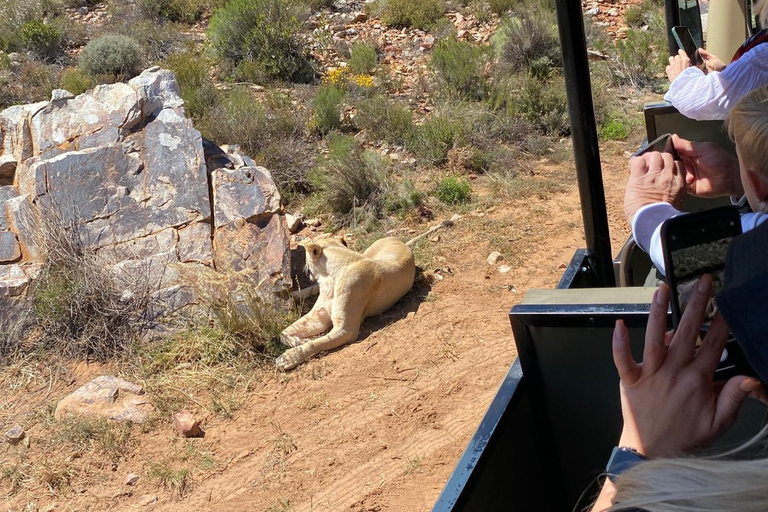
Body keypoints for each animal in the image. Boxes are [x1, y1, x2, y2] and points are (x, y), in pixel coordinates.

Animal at [276, 236, 416, 372]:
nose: (305, 267)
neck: (329, 279)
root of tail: (397, 240)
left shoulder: (346, 330)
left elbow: (317, 343)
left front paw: (287, 358)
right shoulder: (317, 317)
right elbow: (282, 333)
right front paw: (297, 341)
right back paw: (296, 295)